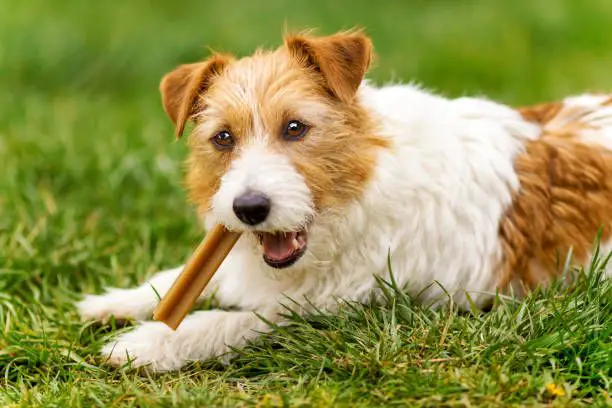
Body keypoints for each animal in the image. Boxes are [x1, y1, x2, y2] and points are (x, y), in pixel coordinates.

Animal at [76, 29, 612, 372]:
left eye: (295, 127)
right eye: (223, 137)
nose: (249, 208)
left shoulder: (351, 315)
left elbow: (239, 321)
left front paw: (150, 343)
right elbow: (180, 279)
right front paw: (114, 301)